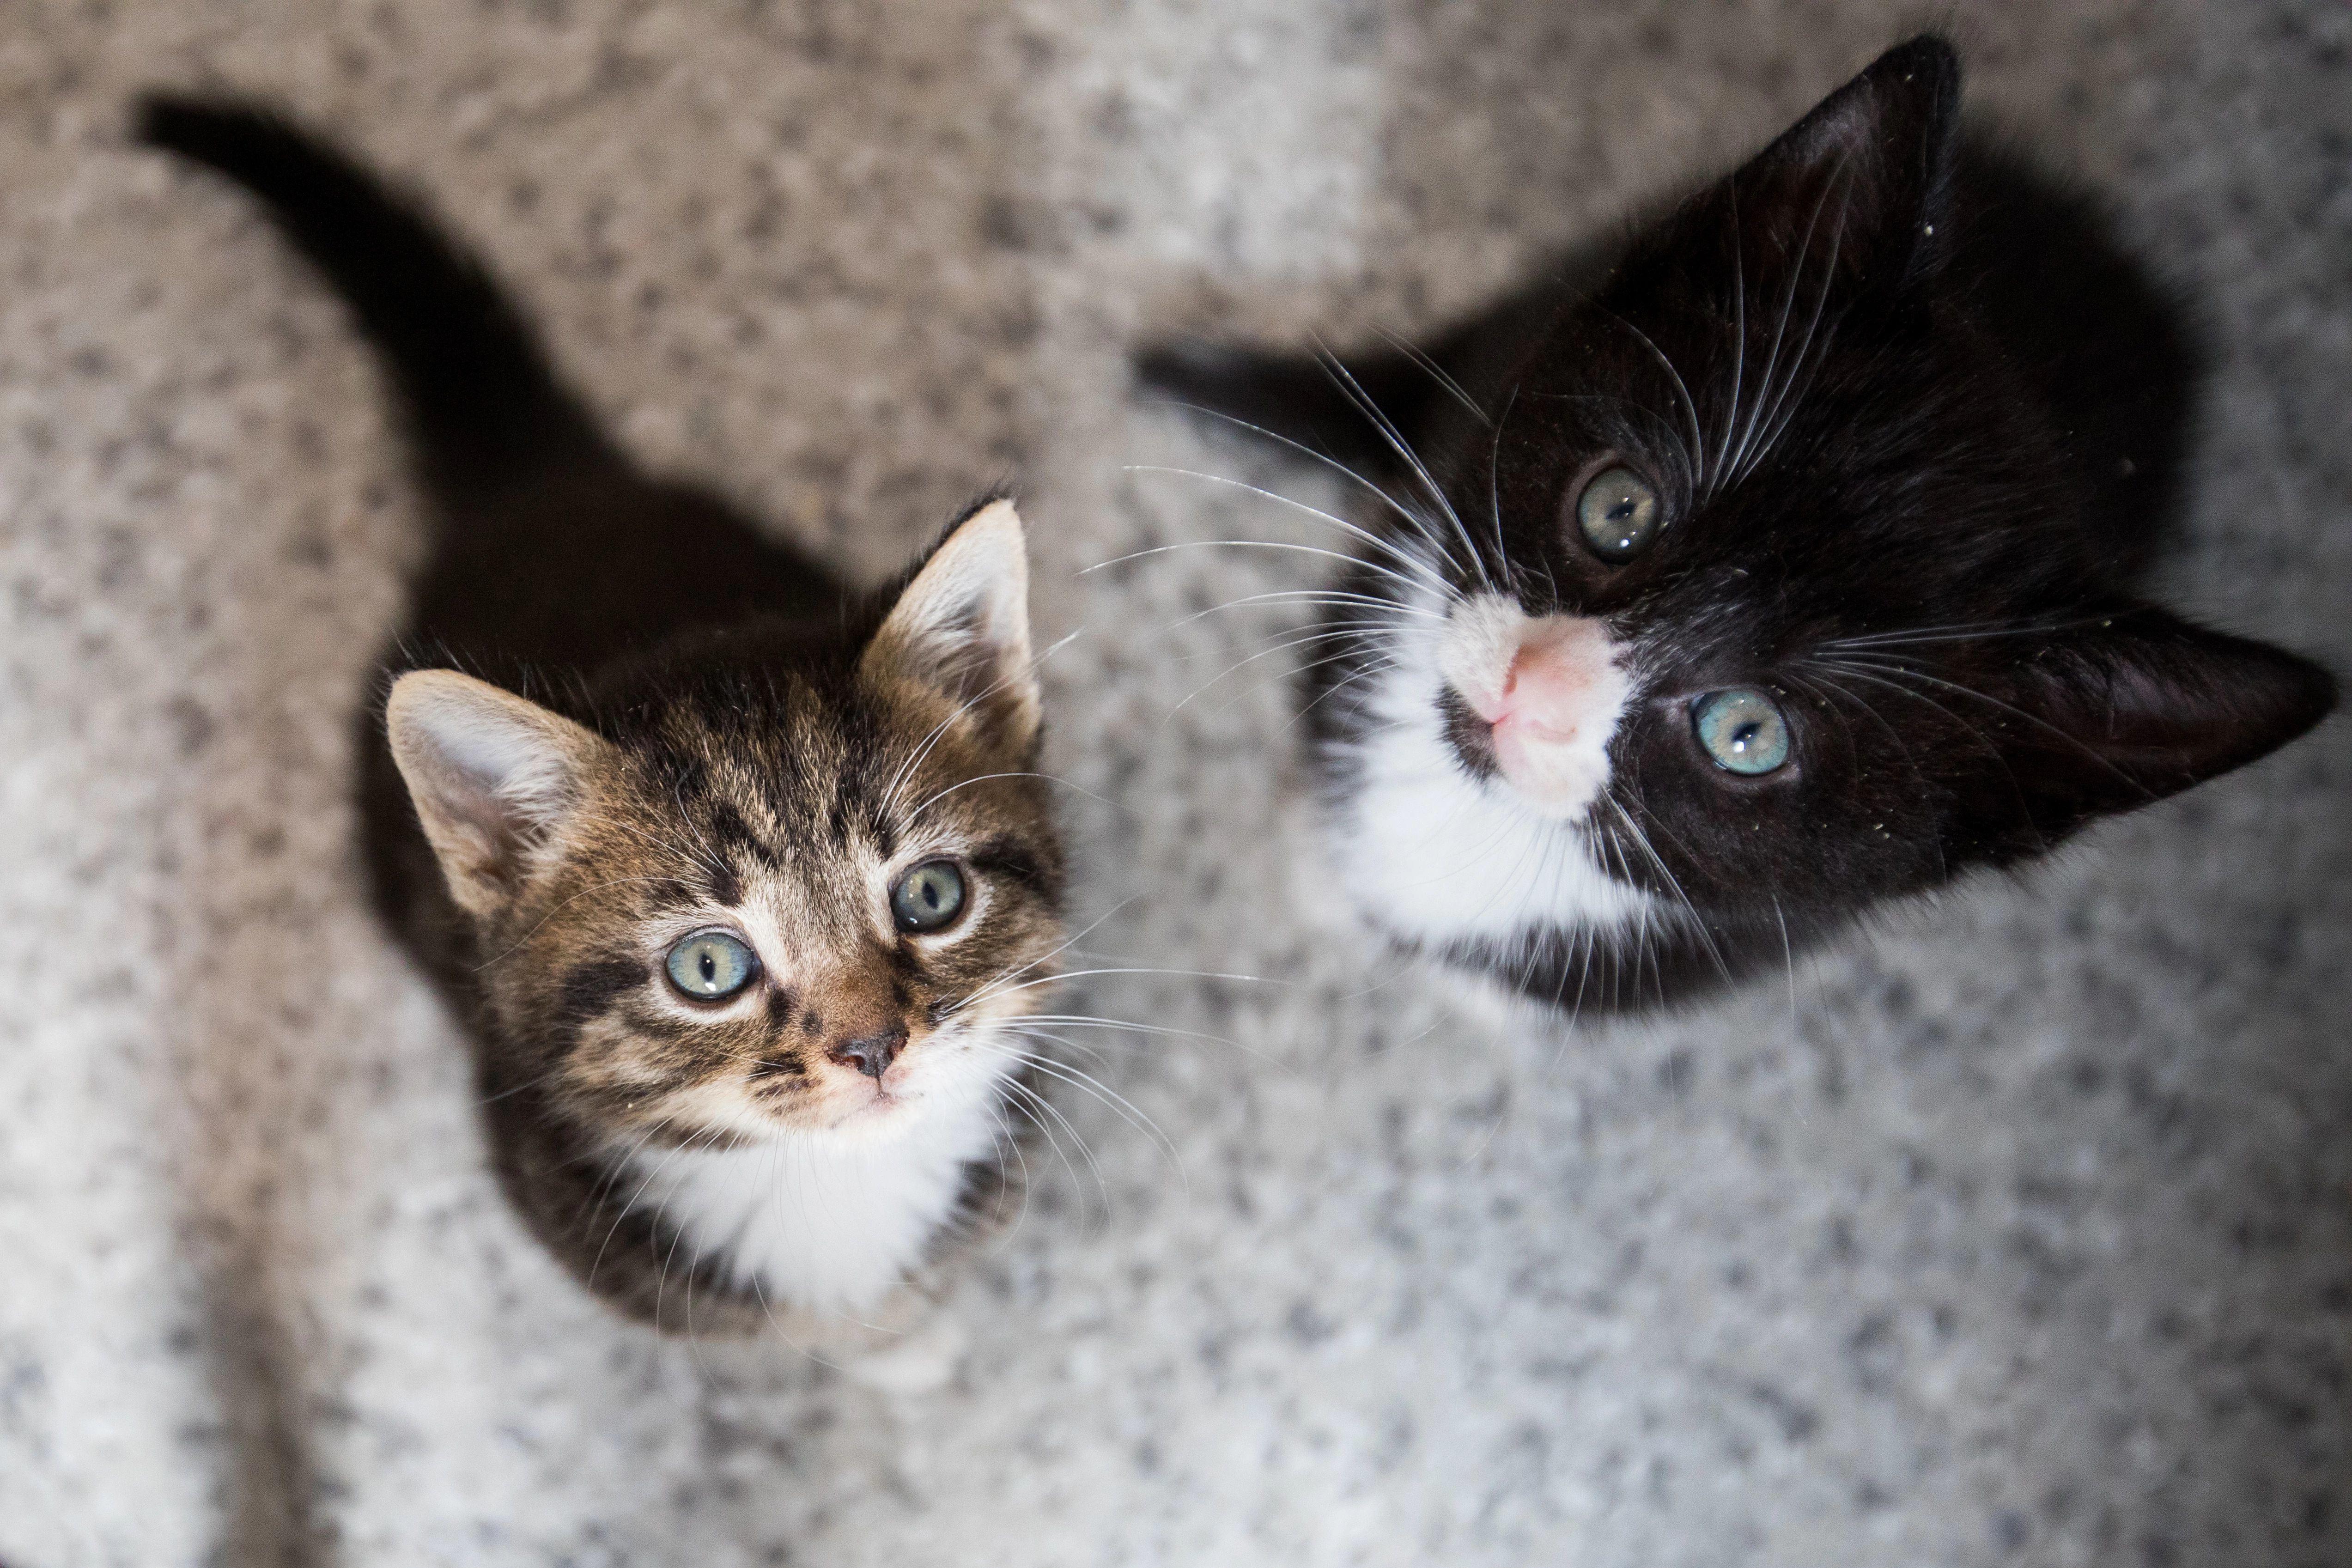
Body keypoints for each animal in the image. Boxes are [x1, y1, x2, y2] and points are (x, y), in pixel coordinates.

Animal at [142, 95, 1072, 1354]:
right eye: (709, 964)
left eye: (932, 895)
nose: (874, 1045)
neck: (828, 1189)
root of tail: (544, 483)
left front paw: (912, 1342)